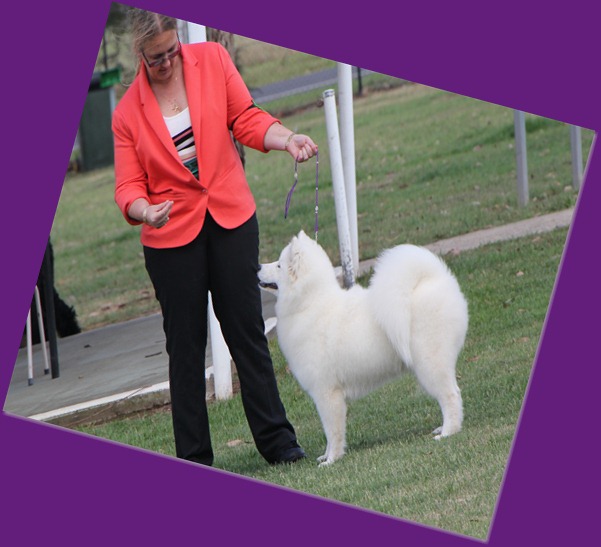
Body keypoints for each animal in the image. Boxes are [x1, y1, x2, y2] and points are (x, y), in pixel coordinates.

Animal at [258, 231, 468, 466]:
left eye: (278, 265)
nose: (257, 266)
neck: (309, 304)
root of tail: (437, 279)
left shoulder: (327, 393)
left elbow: (332, 431)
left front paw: (331, 460)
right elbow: (329, 433)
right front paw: (326, 455)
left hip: (429, 364)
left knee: (451, 395)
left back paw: (448, 432)